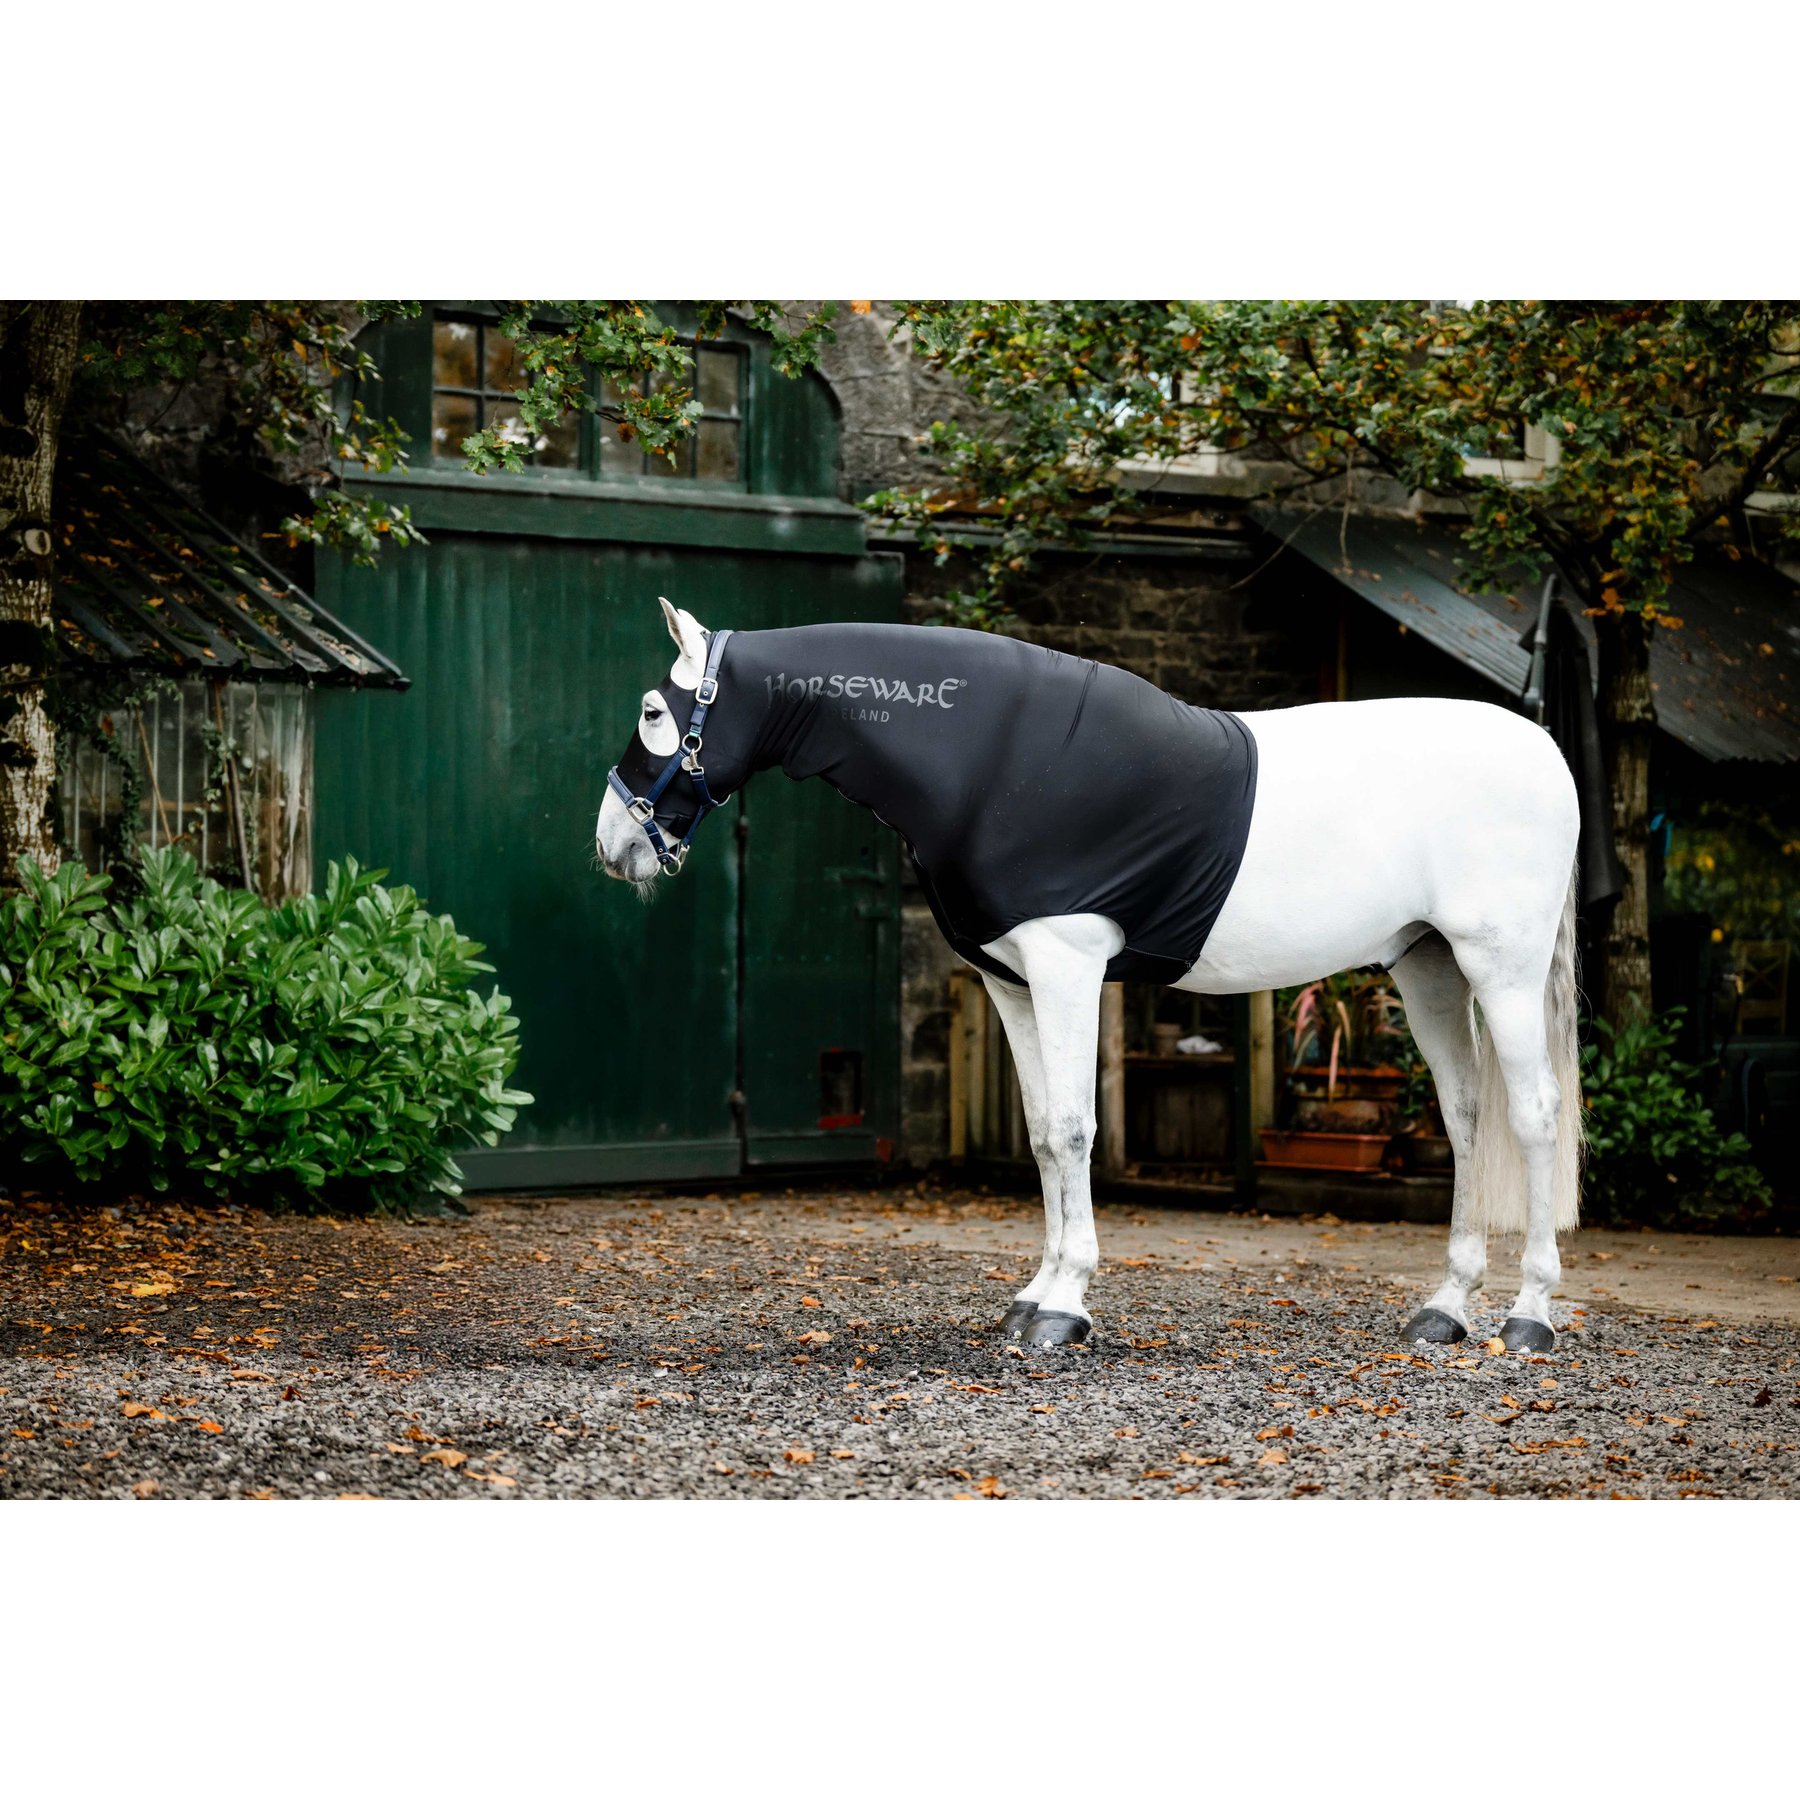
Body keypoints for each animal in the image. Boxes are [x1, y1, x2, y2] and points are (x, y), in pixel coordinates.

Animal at [598, 598, 1583, 1355]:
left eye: (651, 710)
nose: (612, 846)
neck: (987, 754)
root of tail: (1546, 749)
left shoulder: (1067, 963)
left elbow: (1075, 1130)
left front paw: (1065, 1306)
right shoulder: (1011, 982)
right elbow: (1042, 1135)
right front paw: (1035, 1294)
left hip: (1500, 965)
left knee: (1533, 1118)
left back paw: (1529, 1317)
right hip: (1429, 967)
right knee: (1466, 1118)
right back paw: (1445, 1310)